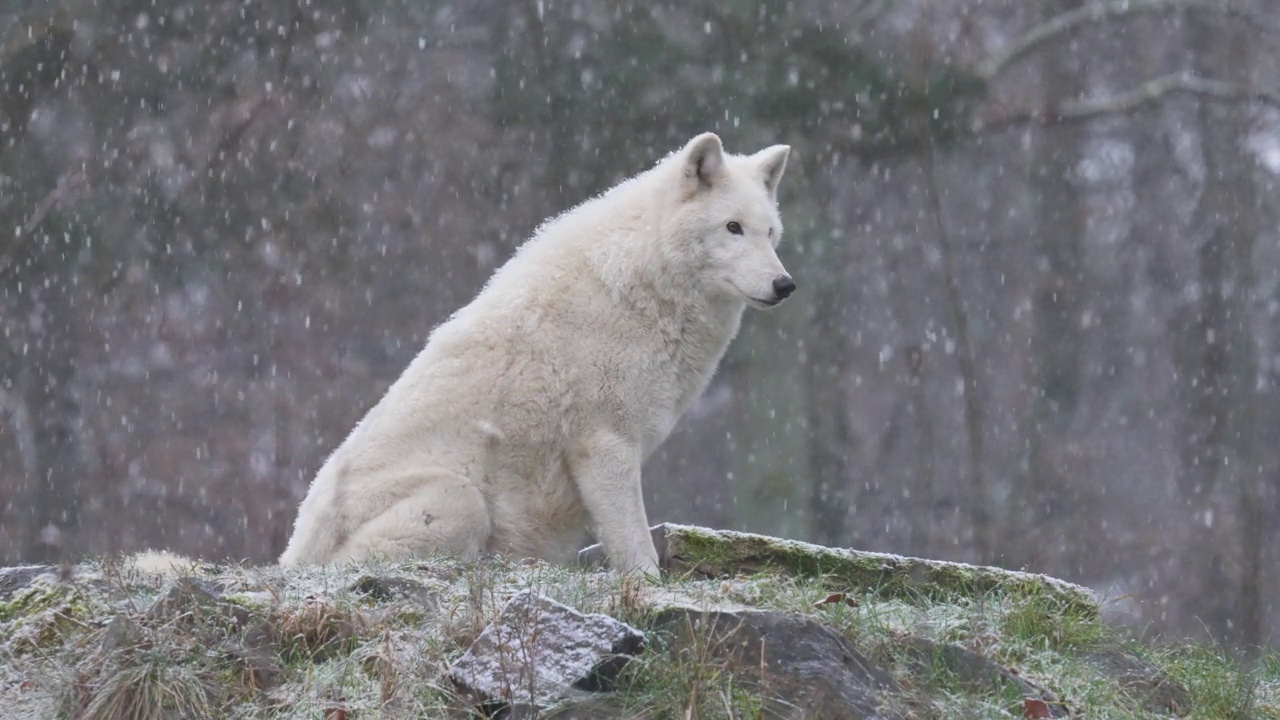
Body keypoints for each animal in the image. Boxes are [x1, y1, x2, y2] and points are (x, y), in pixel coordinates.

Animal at [282, 131, 788, 573]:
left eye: (771, 233)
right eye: (733, 228)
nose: (785, 285)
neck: (642, 285)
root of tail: (296, 546)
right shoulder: (604, 443)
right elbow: (634, 543)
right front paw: (647, 584)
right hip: (458, 498)